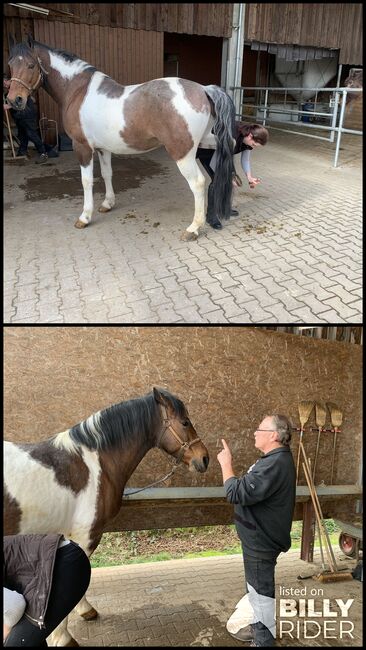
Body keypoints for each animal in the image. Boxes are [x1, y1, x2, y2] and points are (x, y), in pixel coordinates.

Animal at [3, 384, 209, 644]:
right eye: (184, 422)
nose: (204, 458)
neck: (96, 464)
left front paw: (84, 612)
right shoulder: (85, 536)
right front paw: (62, 636)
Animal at [7, 34, 236, 239]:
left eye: (30, 65)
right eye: (10, 64)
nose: (14, 100)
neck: (77, 91)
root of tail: (203, 89)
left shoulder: (82, 147)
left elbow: (86, 181)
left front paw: (85, 217)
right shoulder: (103, 149)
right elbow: (107, 174)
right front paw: (107, 204)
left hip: (182, 153)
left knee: (198, 183)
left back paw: (193, 229)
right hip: (206, 141)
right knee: (229, 150)